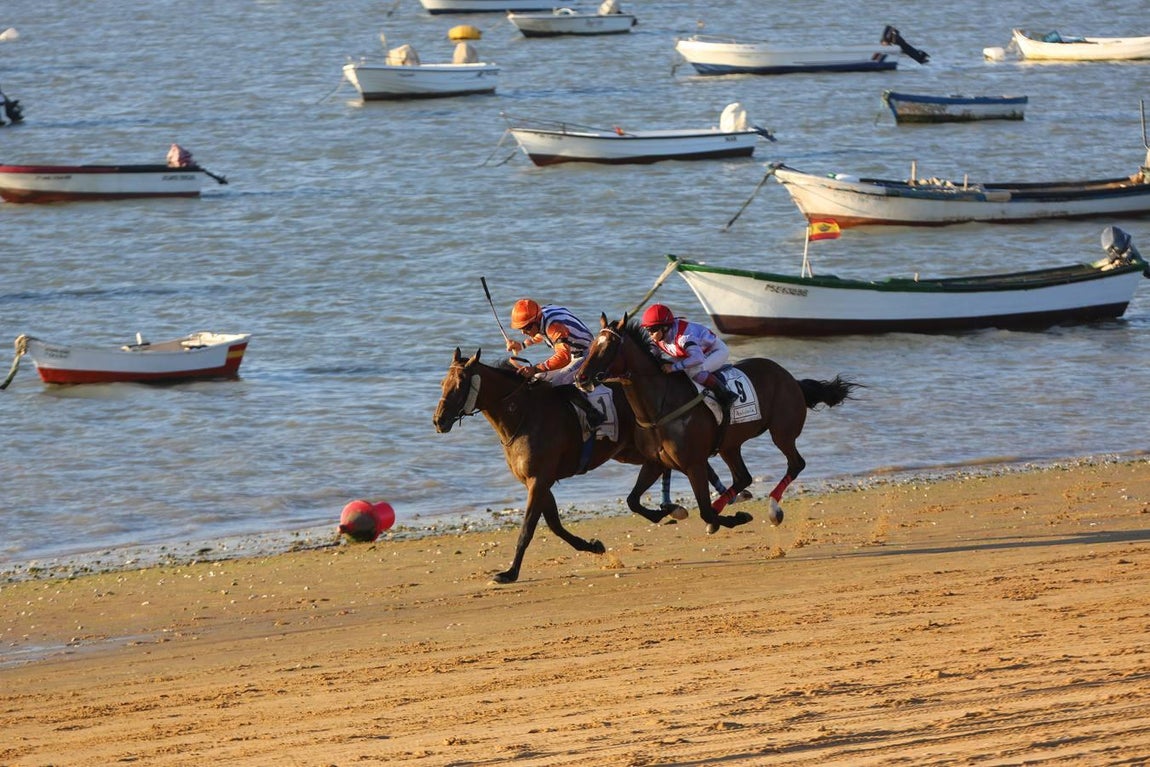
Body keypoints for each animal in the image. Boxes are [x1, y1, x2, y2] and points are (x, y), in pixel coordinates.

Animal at [433, 348, 734, 583]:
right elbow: (554, 525)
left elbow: (528, 529)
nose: (439, 420)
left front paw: (509, 573)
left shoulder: (539, 479)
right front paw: (593, 545)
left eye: (460, 384)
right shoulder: (539, 481)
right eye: (442, 383)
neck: (522, 413)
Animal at [574, 315, 859, 534]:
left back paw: (773, 509)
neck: (659, 408)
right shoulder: (655, 462)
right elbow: (633, 500)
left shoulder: (694, 464)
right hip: (729, 445)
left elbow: (704, 512)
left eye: (609, 347)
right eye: (592, 346)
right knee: (743, 477)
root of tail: (791, 379)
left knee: (795, 463)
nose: (580, 377)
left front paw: (733, 517)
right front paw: (667, 513)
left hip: (782, 432)